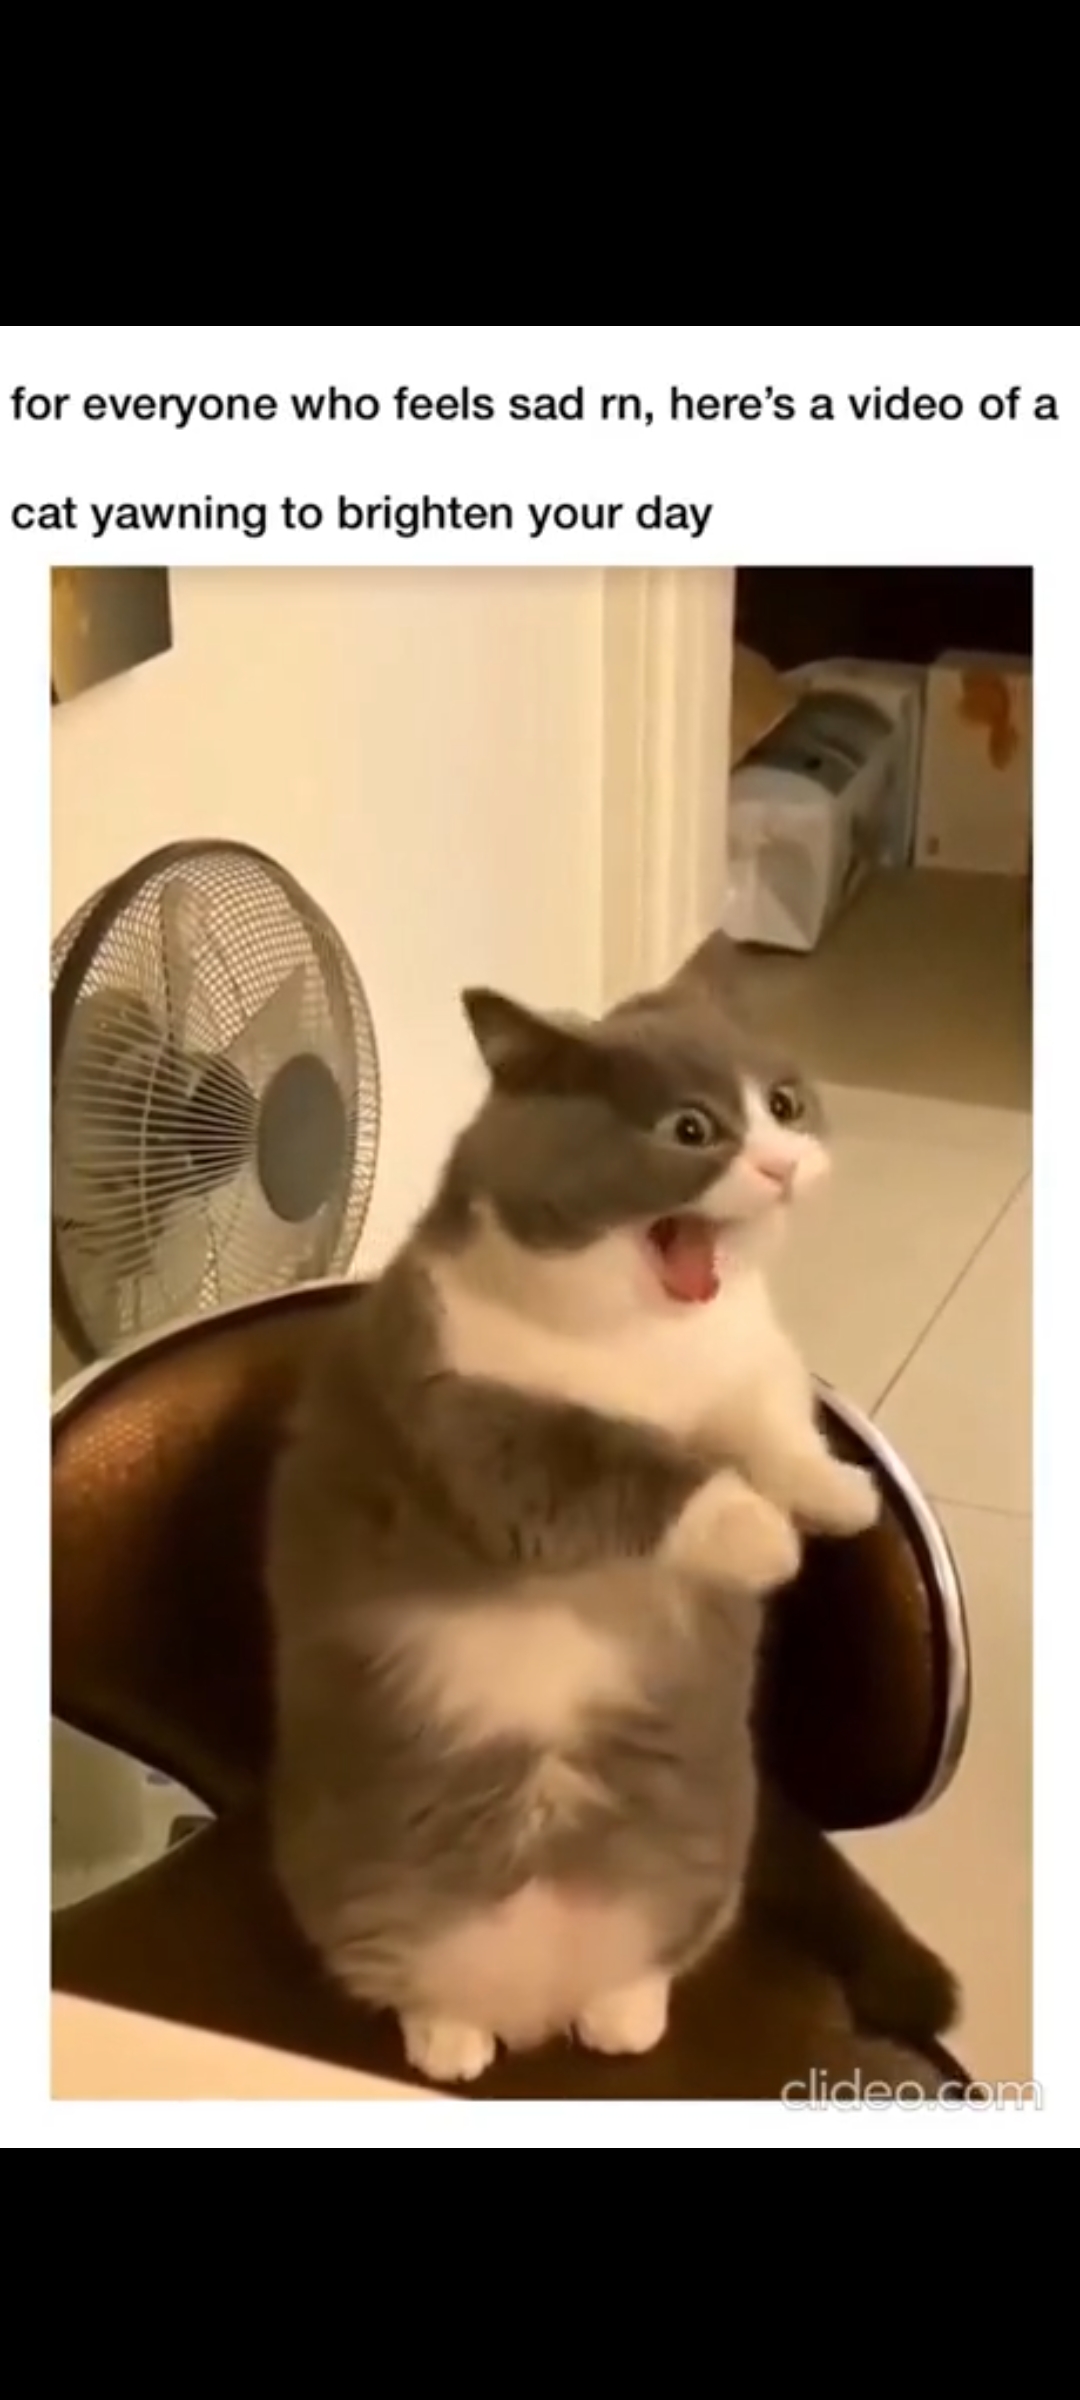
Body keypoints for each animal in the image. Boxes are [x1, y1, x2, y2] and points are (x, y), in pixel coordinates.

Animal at [266, 929, 880, 2085]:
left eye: (784, 1103)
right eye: (691, 1131)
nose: (782, 1165)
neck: (649, 1348)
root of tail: (536, 2003)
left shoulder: (752, 1363)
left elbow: (776, 1419)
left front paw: (839, 1496)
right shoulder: (470, 1421)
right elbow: (617, 1468)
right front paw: (761, 1536)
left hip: (703, 1865)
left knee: (642, 1972)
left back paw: (621, 2015)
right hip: (358, 1889)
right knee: (416, 1987)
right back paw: (453, 2043)